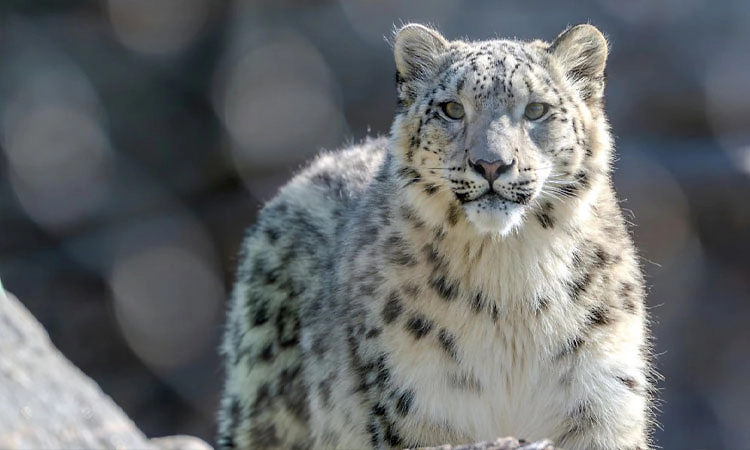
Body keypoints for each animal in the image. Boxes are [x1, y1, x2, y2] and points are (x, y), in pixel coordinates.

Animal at [217, 23, 656, 450]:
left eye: (536, 110)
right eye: (452, 109)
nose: (491, 164)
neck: (510, 277)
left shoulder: (601, 394)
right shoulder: (417, 401)